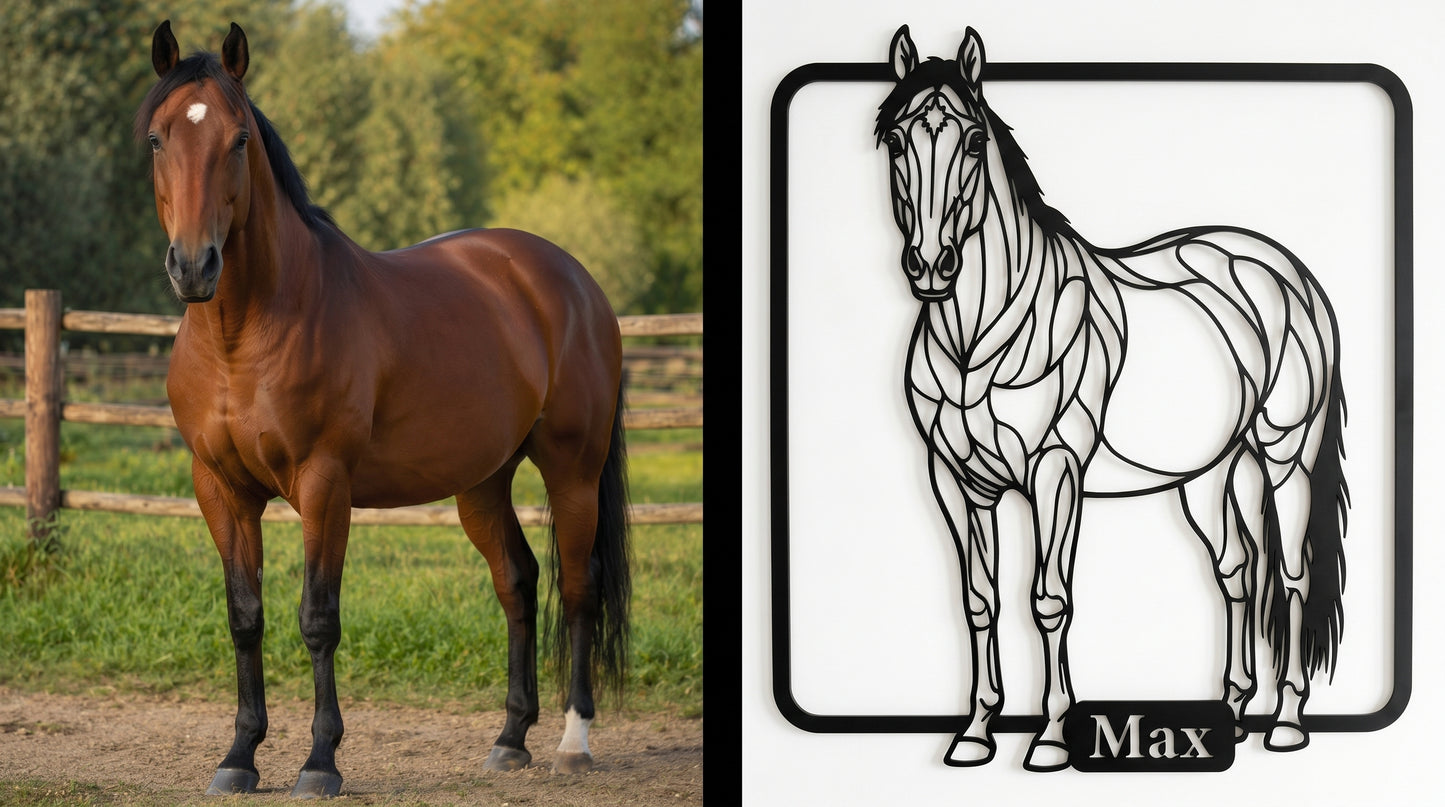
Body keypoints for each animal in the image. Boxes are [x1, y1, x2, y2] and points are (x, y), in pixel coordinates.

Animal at [134, 21, 630, 797]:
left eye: (238, 139)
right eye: (159, 138)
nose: (193, 266)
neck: (246, 335)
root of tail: (572, 279)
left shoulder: (324, 484)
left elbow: (318, 618)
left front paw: (320, 762)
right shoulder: (219, 488)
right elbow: (245, 617)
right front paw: (239, 756)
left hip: (571, 471)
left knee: (579, 588)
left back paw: (572, 742)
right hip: (482, 482)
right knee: (518, 581)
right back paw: (510, 739)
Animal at [875, 25, 1347, 772]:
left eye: (973, 140)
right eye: (895, 139)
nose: (929, 267)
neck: (977, 338)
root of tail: (1279, 267)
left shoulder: (1055, 469)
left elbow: (1048, 598)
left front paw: (1046, 738)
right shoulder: (953, 478)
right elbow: (978, 599)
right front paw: (974, 732)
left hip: (1284, 456)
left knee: (1294, 574)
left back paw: (1287, 722)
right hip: (1214, 471)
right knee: (1238, 569)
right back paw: (1234, 712)